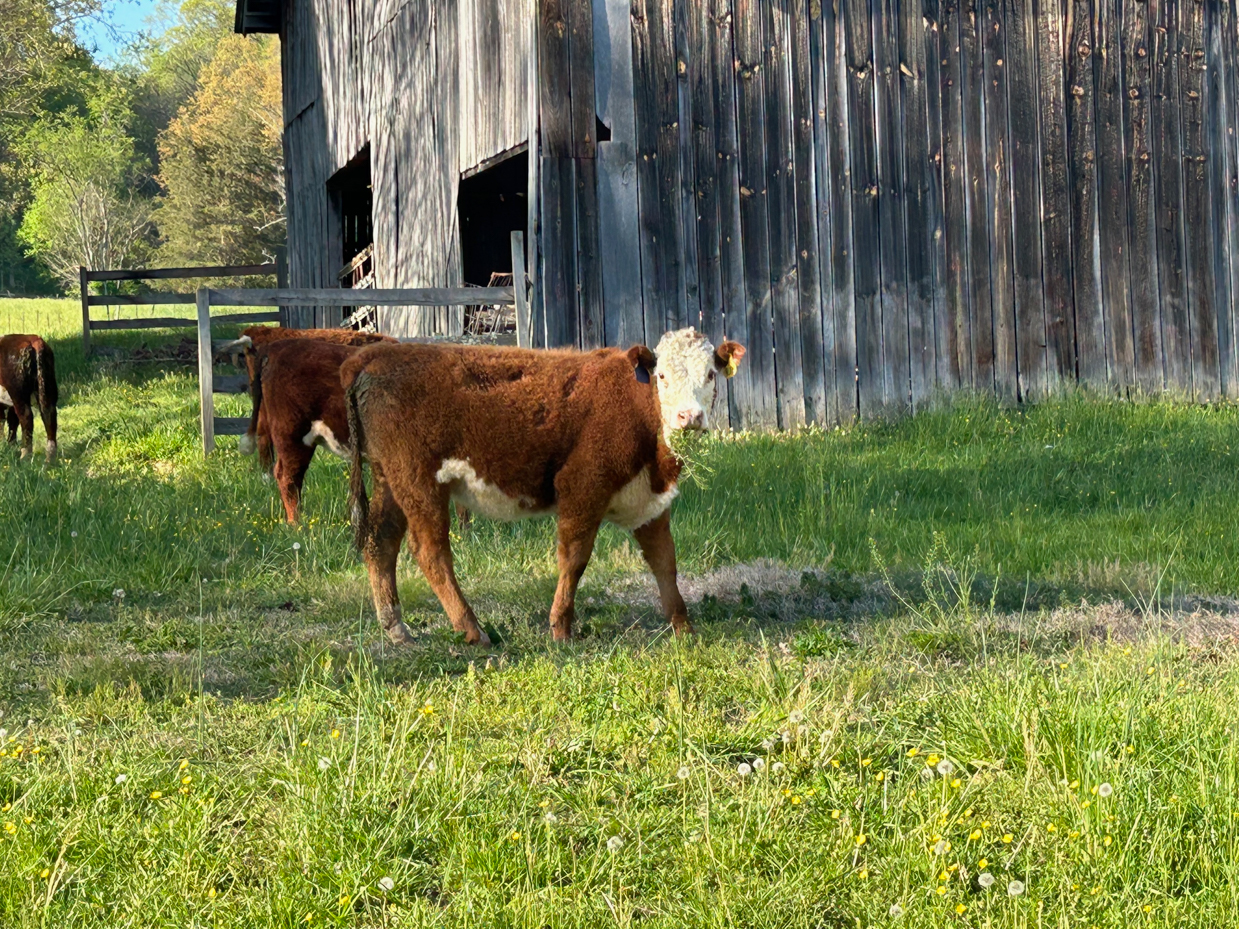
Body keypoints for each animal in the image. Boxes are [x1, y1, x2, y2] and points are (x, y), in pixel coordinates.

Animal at [0, 334, 58, 462]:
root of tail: (34, 339)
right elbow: (11, 422)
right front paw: (10, 446)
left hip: (17, 392)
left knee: (26, 417)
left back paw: (25, 455)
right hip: (47, 386)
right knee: (49, 414)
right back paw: (50, 459)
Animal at [342, 328, 745, 646]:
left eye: (711, 374)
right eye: (661, 376)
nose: (689, 417)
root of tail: (373, 356)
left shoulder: (649, 501)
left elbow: (665, 562)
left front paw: (683, 628)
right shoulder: (583, 487)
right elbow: (574, 559)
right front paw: (561, 629)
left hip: (390, 478)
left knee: (381, 541)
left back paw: (396, 628)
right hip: (418, 479)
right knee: (430, 551)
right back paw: (472, 630)